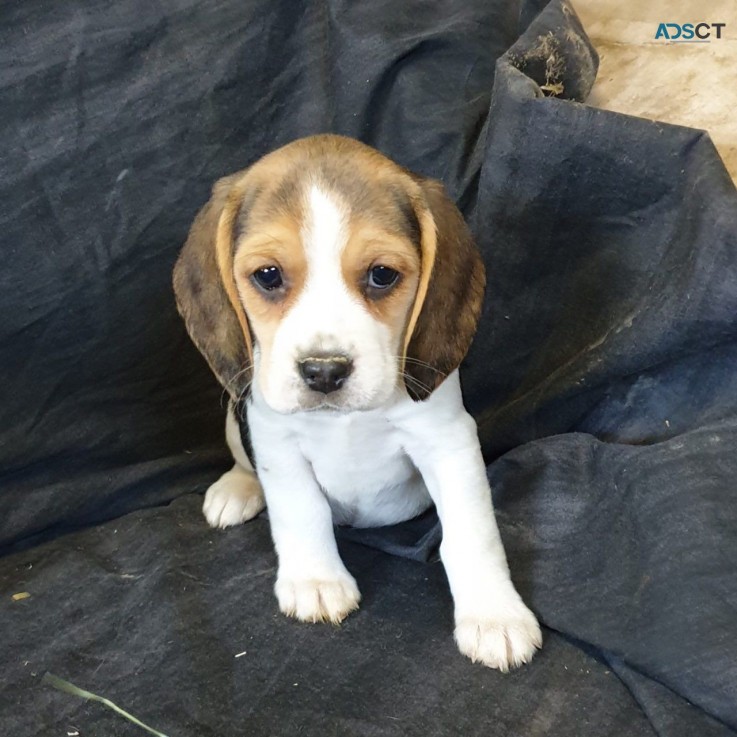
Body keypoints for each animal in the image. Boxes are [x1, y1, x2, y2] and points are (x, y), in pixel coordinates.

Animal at [172, 135, 540, 668]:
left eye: (382, 274)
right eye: (267, 275)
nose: (324, 370)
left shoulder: (448, 443)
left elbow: (472, 532)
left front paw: (494, 615)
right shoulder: (276, 441)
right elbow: (301, 509)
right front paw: (316, 580)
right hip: (234, 415)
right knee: (245, 463)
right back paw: (237, 489)